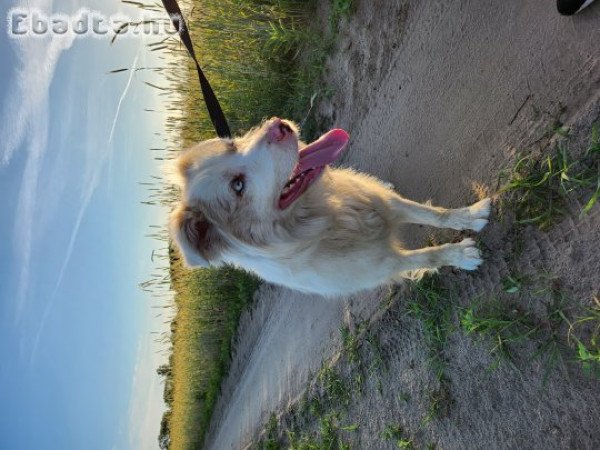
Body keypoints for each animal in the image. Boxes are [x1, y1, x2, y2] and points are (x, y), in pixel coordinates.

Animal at [171, 118, 490, 298]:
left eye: (232, 145)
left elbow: (434, 214)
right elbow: (428, 256)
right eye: (237, 186)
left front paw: (470, 215)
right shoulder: (385, 264)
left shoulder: (386, 204)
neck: (327, 217)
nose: (278, 125)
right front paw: (461, 255)